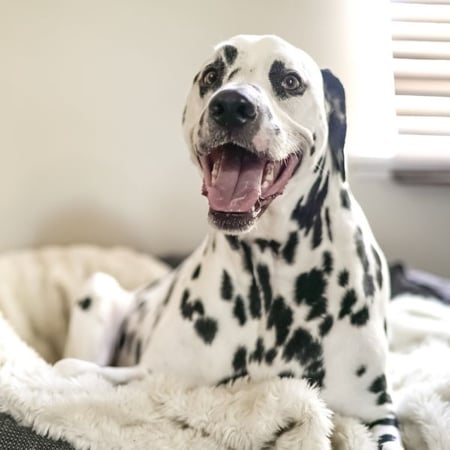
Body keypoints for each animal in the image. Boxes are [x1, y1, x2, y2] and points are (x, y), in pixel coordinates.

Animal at [56, 33, 404, 448]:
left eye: (290, 81)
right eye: (212, 74)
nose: (232, 106)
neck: (271, 281)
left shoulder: (375, 417)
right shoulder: (157, 378)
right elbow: (80, 371)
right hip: (98, 290)